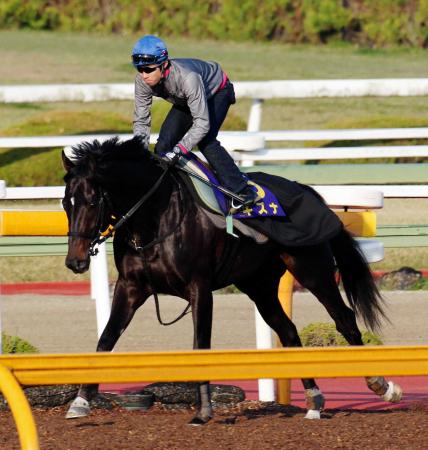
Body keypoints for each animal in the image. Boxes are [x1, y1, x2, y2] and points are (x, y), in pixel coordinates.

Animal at [62, 135, 402, 424]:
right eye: (66, 202)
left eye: (92, 200)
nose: (75, 261)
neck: (154, 219)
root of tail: (309, 192)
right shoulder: (131, 287)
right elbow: (106, 339)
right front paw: (80, 402)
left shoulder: (199, 288)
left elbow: (201, 345)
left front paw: (203, 412)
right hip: (259, 286)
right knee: (289, 332)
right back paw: (314, 400)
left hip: (312, 270)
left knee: (344, 318)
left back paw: (381, 384)